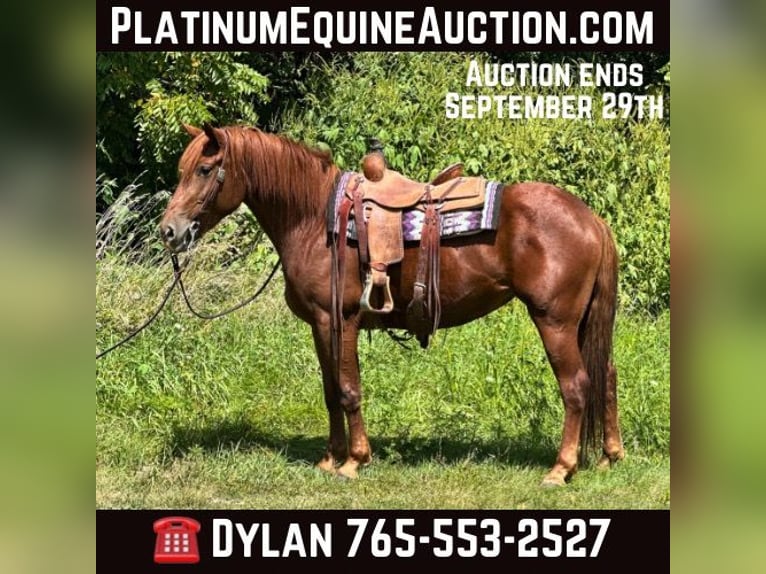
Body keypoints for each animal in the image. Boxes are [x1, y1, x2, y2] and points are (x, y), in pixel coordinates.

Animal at [159, 123, 624, 486]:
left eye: (204, 170)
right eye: (181, 170)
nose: (169, 231)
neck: (313, 219)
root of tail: (591, 219)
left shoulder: (340, 319)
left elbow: (348, 390)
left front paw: (354, 461)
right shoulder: (319, 324)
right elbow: (329, 390)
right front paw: (329, 458)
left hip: (555, 321)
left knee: (576, 386)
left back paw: (561, 469)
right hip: (582, 322)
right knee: (606, 374)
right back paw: (609, 456)